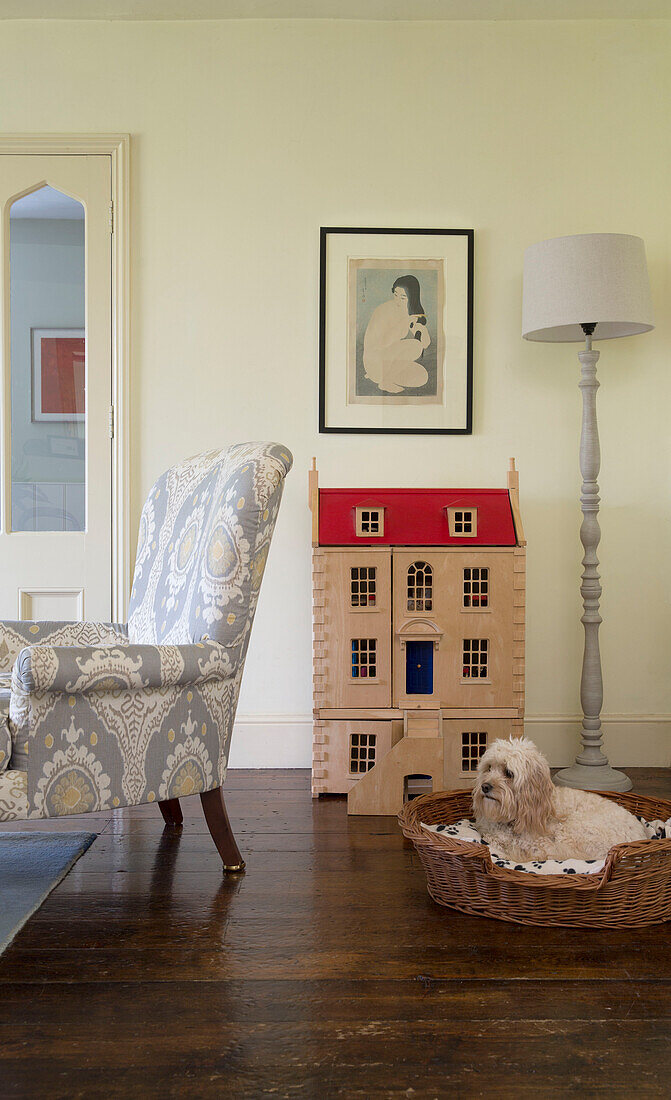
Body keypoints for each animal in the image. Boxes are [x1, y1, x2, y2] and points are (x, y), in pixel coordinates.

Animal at [468, 734, 646, 862]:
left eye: (509, 773)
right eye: (488, 768)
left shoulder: (538, 843)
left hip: (574, 829)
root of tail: (640, 837)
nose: (485, 786)